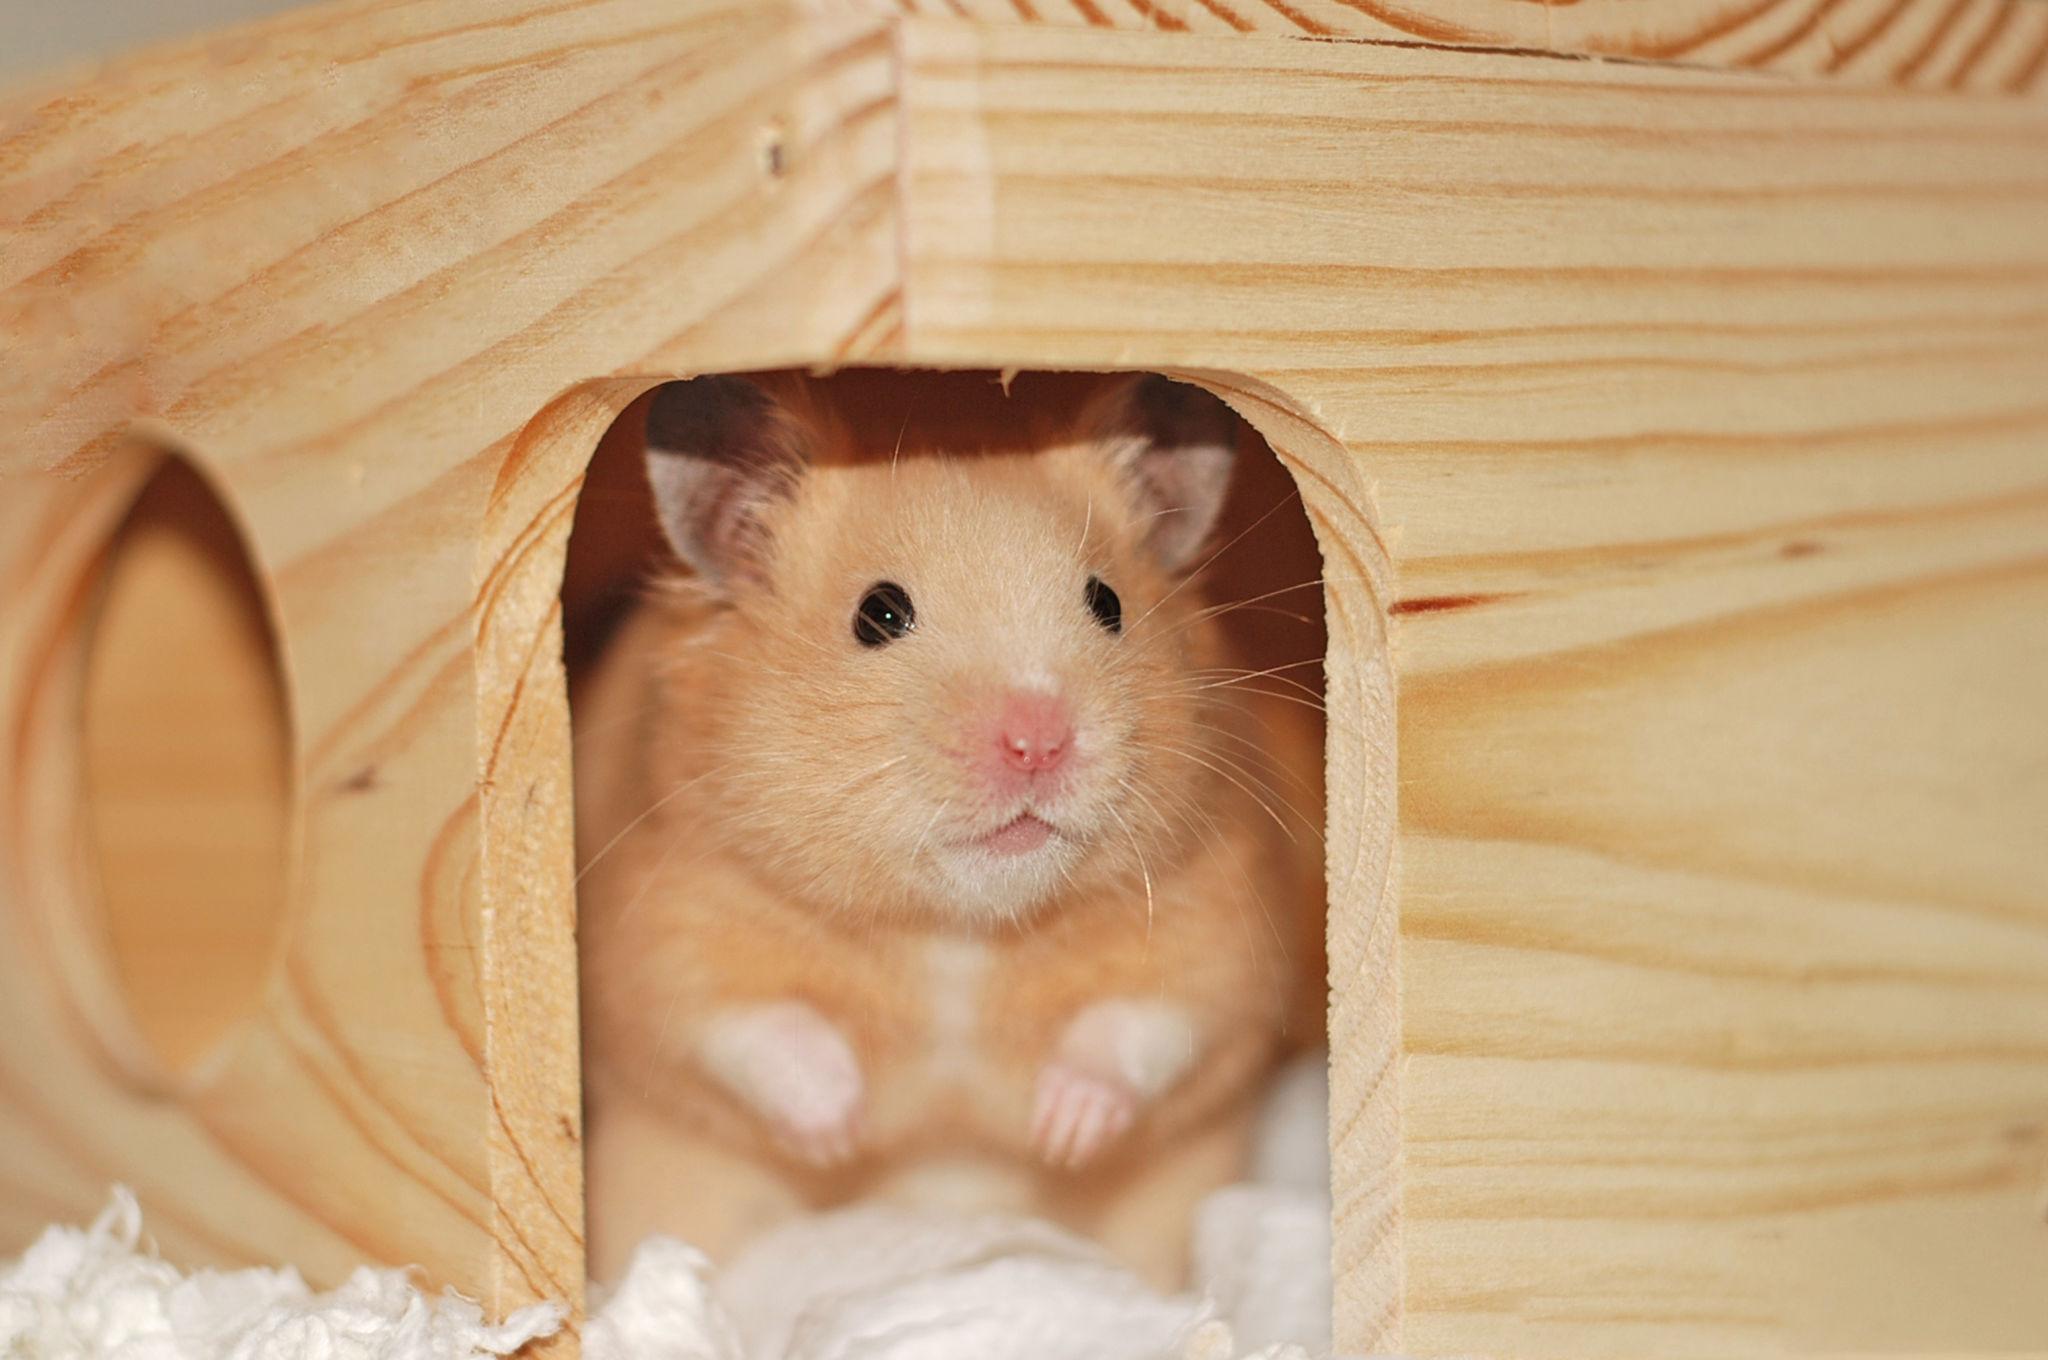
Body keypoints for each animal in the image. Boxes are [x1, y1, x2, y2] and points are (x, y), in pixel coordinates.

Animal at [575, 372, 1323, 1287]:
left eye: (1107, 602)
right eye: (878, 614)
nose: (1038, 743)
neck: (959, 933)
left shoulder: (1223, 921)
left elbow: (1147, 1020)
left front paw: (1062, 1132)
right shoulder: (663, 926)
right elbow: (752, 1027)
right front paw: (842, 1133)